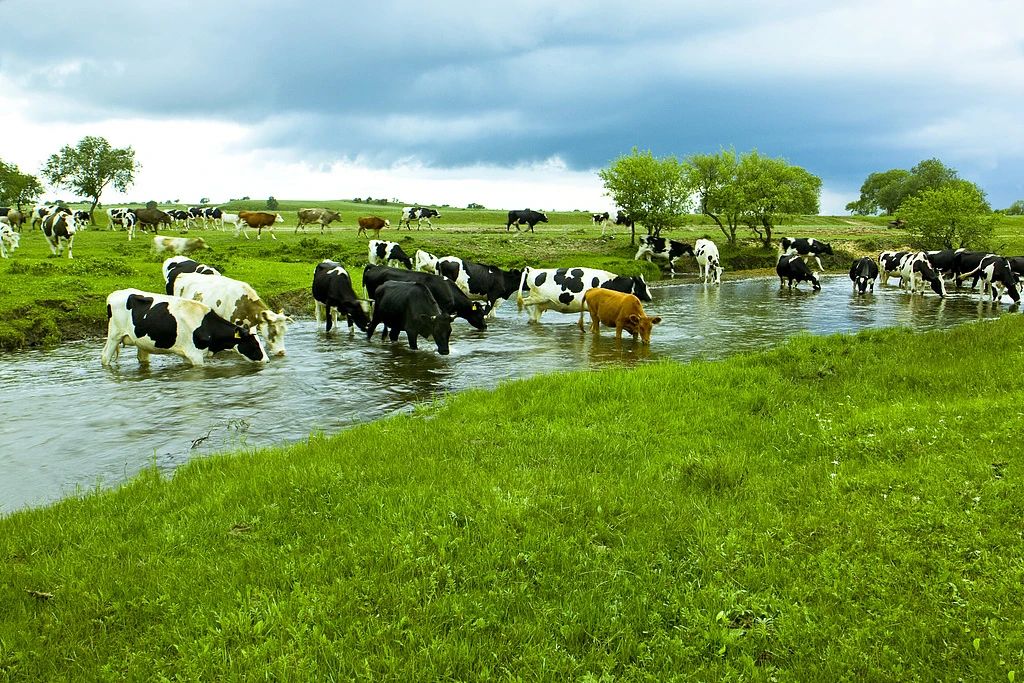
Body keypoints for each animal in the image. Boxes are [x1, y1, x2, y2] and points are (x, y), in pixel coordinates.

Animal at [516, 266, 651, 323]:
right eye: (643, 285)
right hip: (538, 298)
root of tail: (533, 270)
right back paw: (530, 316)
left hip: (541, 303)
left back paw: (532, 319)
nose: (650, 297)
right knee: (523, 301)